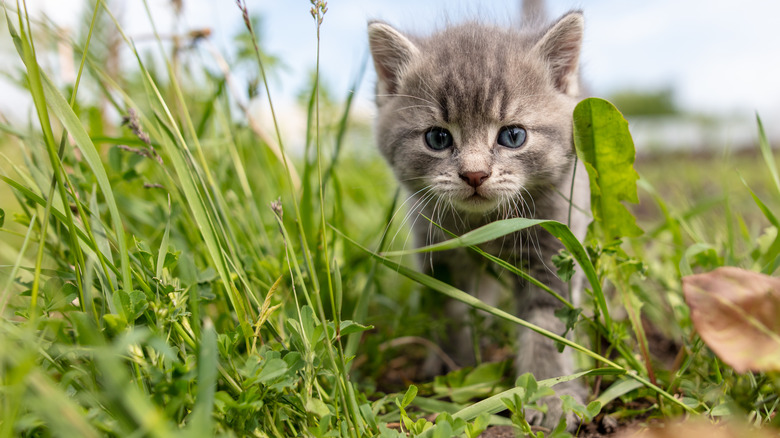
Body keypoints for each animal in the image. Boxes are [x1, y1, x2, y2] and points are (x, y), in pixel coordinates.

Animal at [368, 8, 588, 430]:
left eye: (513, 136)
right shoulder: (439, 254)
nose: (474, 174)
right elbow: (454, 311)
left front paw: (548, 397)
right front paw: (454, 367)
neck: (484, 227)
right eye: (437, 138)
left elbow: (546, 326)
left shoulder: (551, 252)